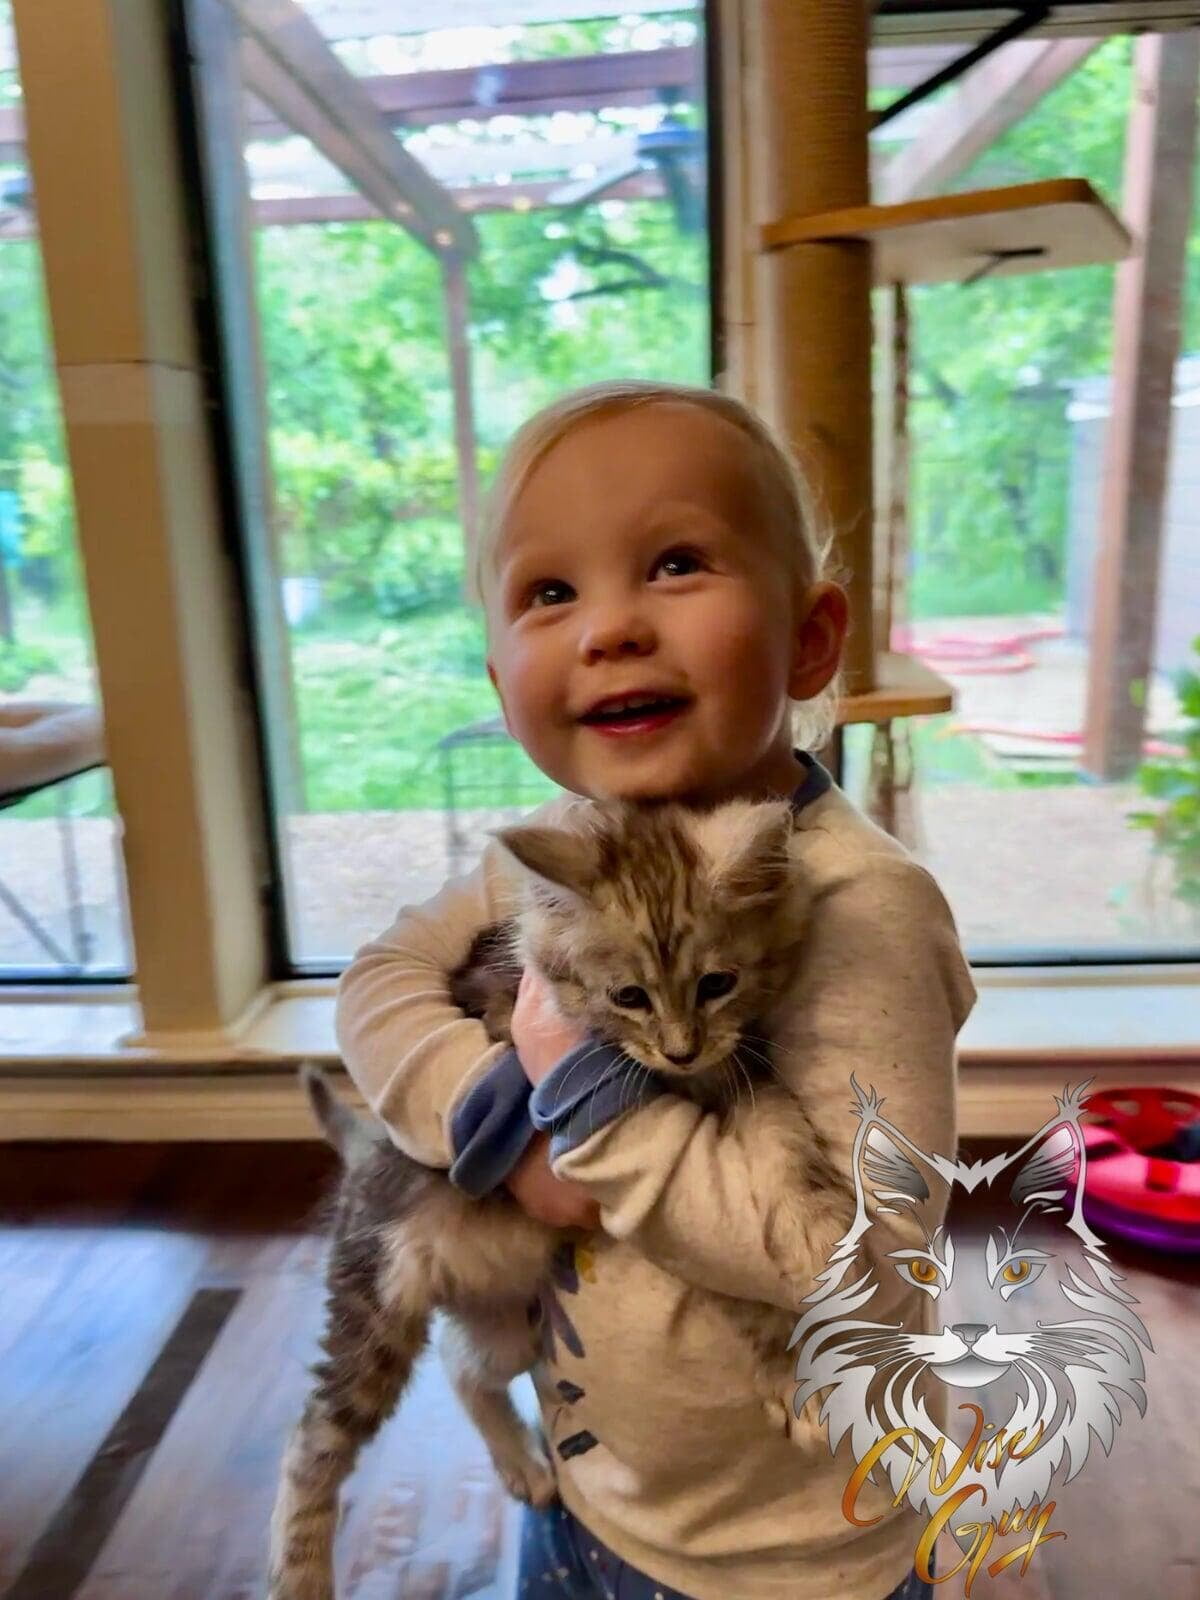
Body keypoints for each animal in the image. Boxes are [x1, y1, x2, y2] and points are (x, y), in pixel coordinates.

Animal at [268, 800, 857, 1600]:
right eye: (629, 997)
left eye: (717, 983)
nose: (680, 1048)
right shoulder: (653, 1209)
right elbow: (737, 1288)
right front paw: (791, 1375)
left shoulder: (741, 1073)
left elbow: (786, 1134)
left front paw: (820, 1219)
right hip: (376, 1306)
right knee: (312, 1437)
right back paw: (298, 1574)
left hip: (510, 1319)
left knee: (460, 1365)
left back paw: (522, 1462)